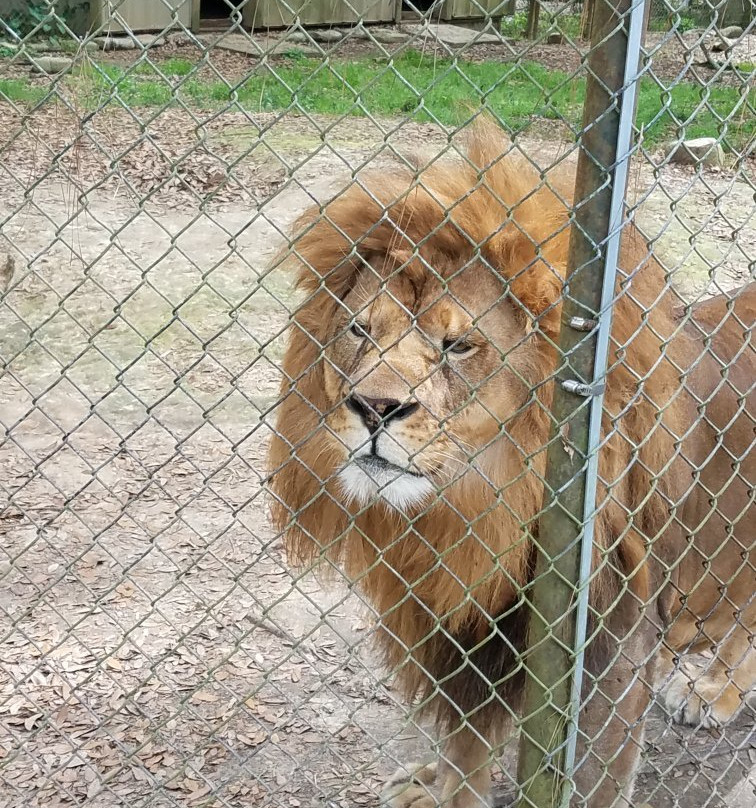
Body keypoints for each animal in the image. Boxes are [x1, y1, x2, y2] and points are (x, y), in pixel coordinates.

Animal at [268, 123, 756, 804]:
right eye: (360, 331)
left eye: (457, 346)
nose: (373, 407)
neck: (477, 508)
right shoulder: (459, 631)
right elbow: (466, 744)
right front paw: (442, 788)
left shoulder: (614, 655)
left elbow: (591, 782)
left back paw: (716, 693)